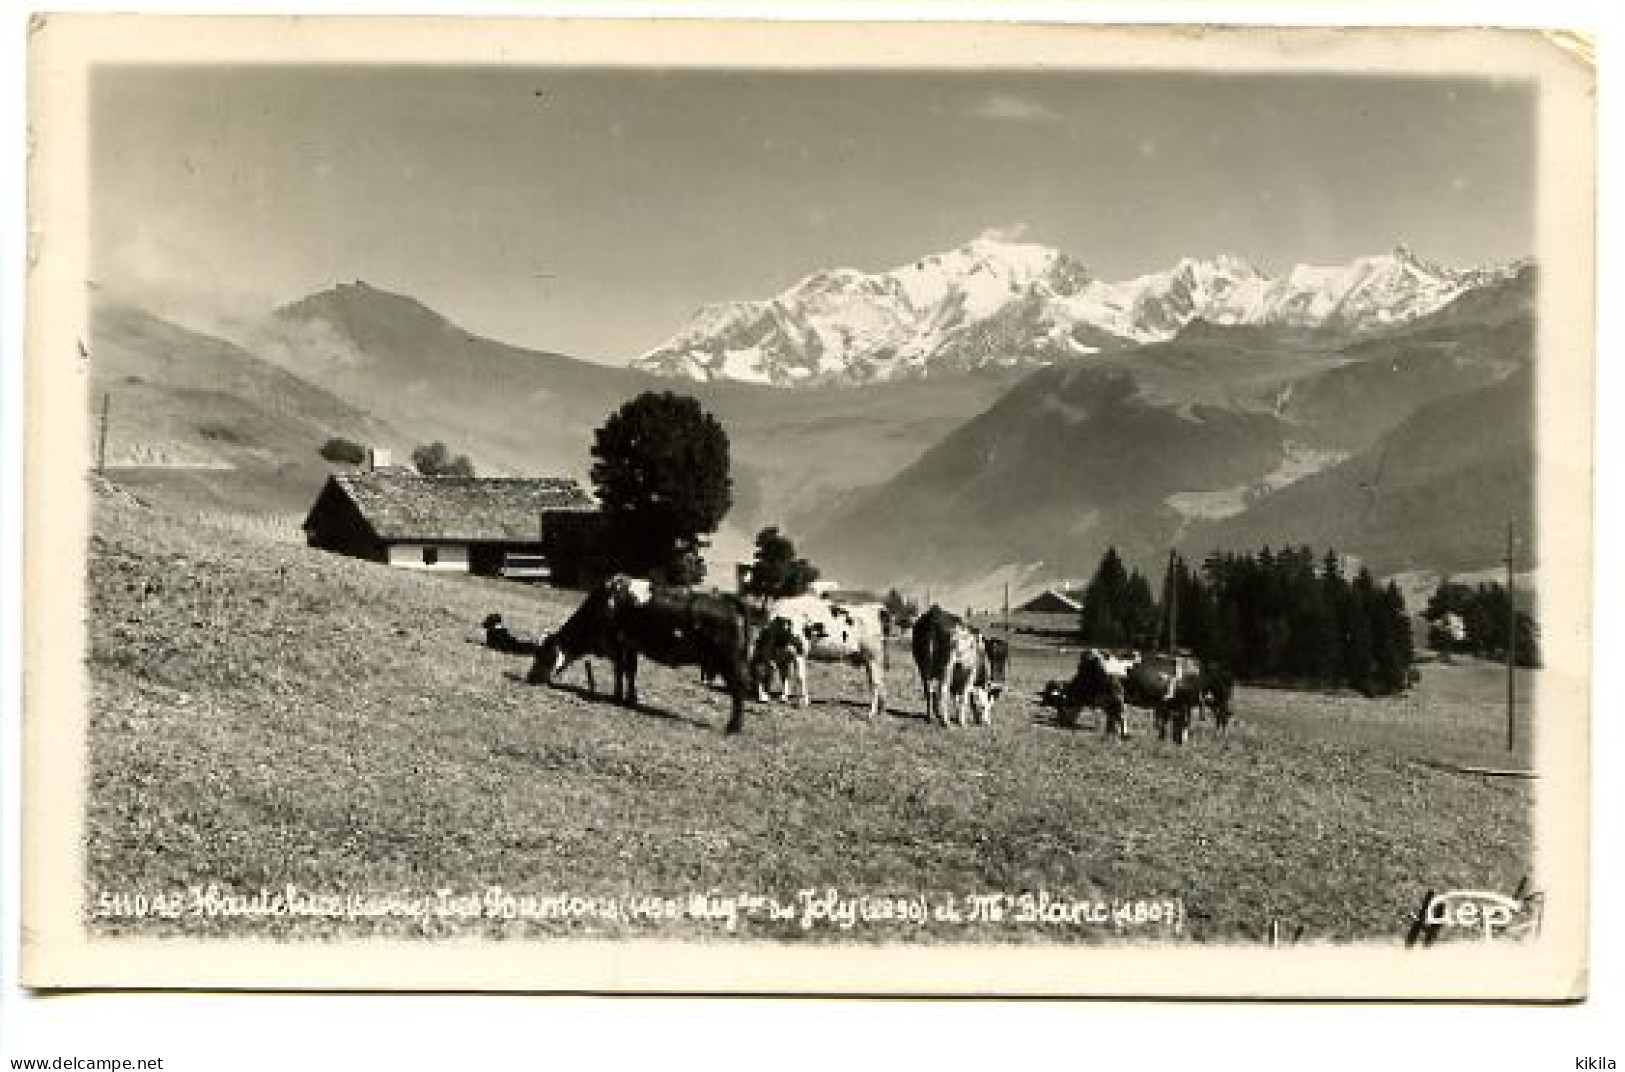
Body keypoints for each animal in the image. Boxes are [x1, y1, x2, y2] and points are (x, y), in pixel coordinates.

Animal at [526, 578, 754, 737]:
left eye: (544, 655)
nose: (529, 677)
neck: (606, 603)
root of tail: (728, 602)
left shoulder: (618, 646)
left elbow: (620, 671)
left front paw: (617, 697)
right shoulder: (631, 647)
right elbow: (630, 673)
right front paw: (631, 698)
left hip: (730, 662)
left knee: (738, 691)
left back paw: (733, 726)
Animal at [747, 594, 890, 721]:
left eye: (757, 673)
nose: (760, 699)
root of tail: (875, 607)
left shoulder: (800, 650)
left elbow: (800, 676)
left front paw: (803, 702)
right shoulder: (785, 655)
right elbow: (785, 676)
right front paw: (784, 697)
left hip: (873, 656)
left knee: (875, 683)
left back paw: (871, 712)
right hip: (872, 659)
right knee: (879, 681)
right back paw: (880, 709)